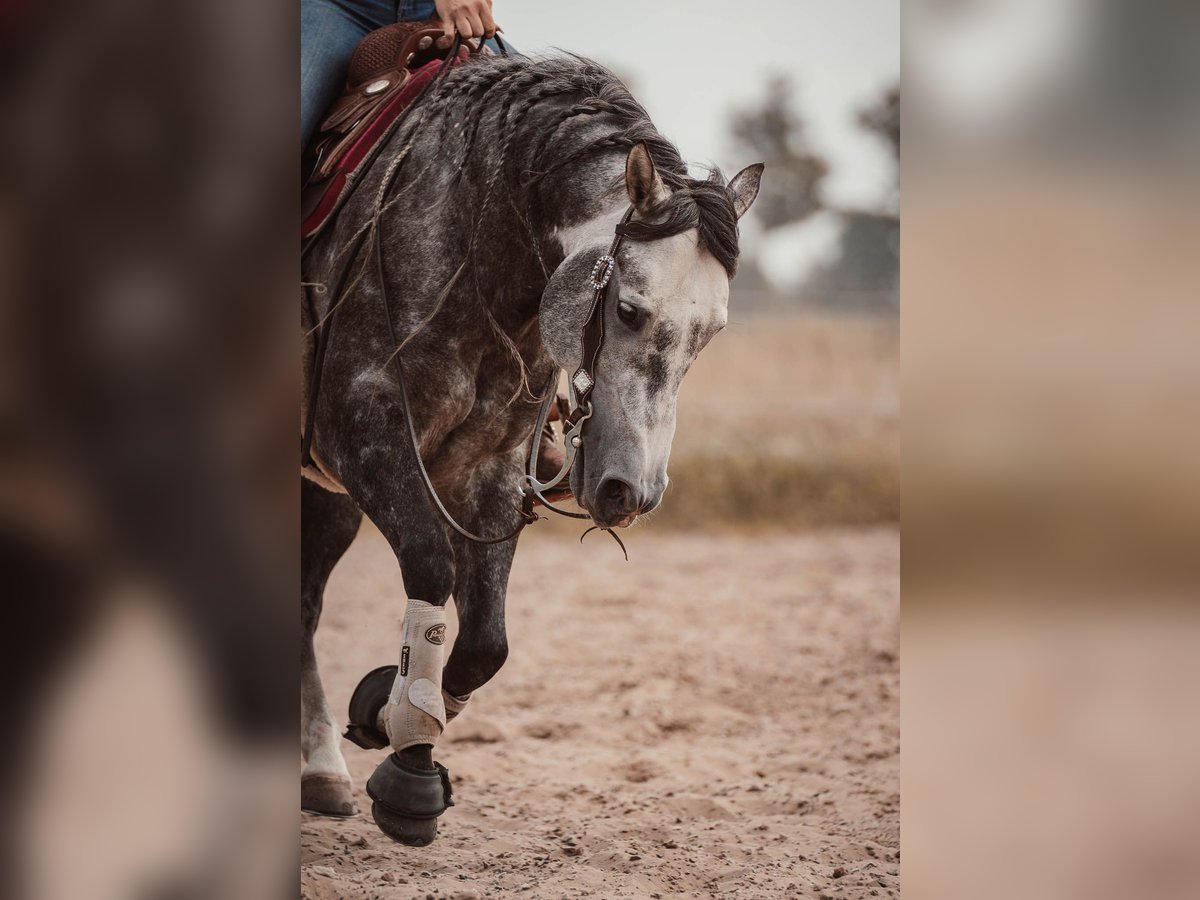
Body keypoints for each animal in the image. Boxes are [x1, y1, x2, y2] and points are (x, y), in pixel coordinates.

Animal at [300, 51, 762, 846]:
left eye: (711, 333)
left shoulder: (488, 473)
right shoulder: (364, 437)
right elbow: (431, 567)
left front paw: (391, 716)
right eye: (628, 309)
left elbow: (487, 641)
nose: (632, 492)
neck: (472, 232)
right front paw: (408, 770)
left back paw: (323, 769)